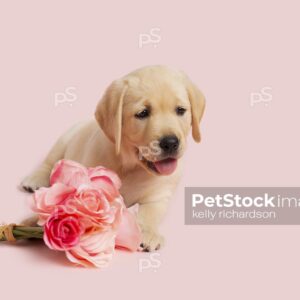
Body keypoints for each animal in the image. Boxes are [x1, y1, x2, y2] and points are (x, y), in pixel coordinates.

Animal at [21, 65, 205, 251]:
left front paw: (148, 232)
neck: (131, 166)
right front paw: (34, 221)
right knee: (49, 161)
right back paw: (34, 180)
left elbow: (150, 213)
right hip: (64, 139)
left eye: (180, 110)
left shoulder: (159, 195)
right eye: (143, 113)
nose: (170, 143)